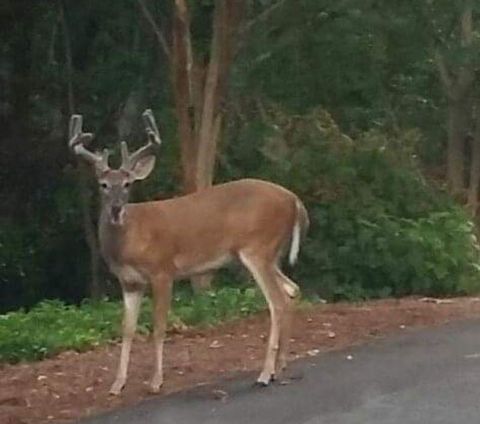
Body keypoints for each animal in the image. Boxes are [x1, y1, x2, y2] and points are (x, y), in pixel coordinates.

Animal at [66, 108, 308, 394]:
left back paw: (265, 373)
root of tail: (294, 200)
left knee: (277, 301)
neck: (130, 238)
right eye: (103, 184)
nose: (115, 209)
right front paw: (117, 384)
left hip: (257, 248)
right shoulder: (130, 282)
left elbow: (159, 327)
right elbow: (127, 329)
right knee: (291, 290)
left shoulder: (162, 270)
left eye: (127, 184)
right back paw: (280, 367)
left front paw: (156, 381)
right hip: (271, 254)